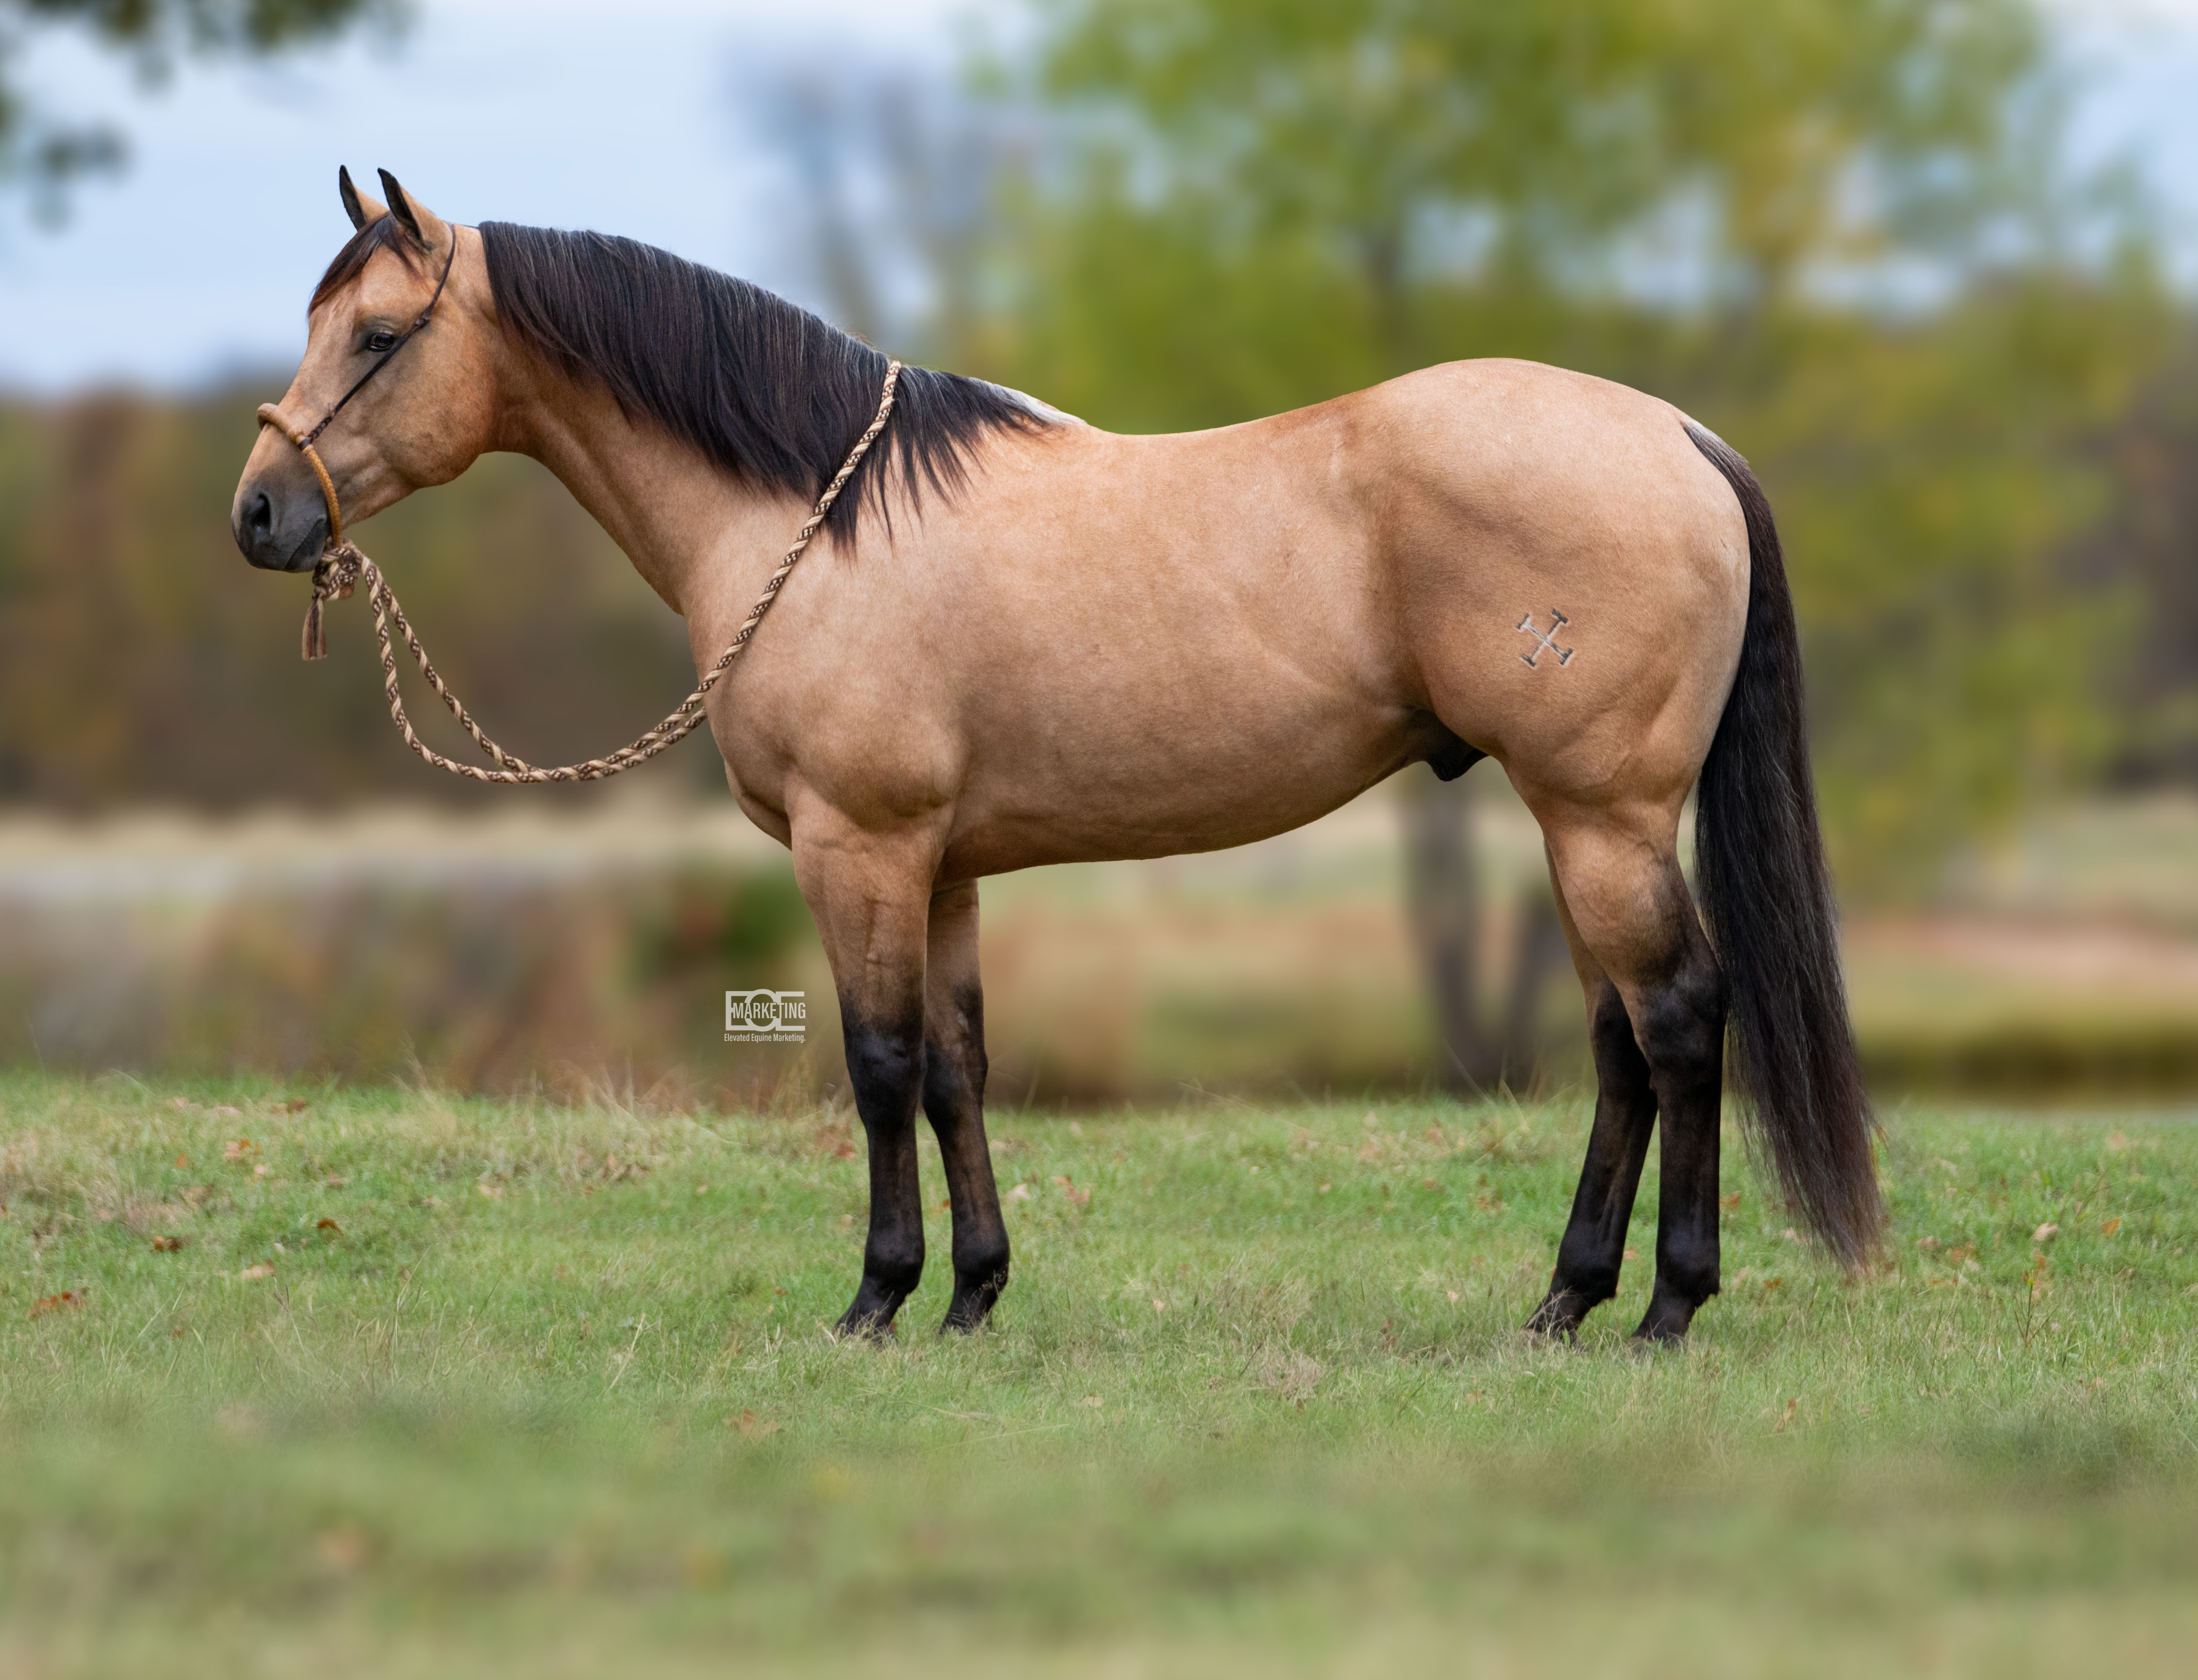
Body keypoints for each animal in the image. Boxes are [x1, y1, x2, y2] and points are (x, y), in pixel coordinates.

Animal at [232, 170, 1881, 1345]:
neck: (816, 520)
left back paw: (1662, 1306)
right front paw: (971, 1291)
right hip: (1579, 824)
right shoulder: (941, 867)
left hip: (1599, 816)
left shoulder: (857, 844)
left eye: (378, 337)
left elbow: (879, 1064)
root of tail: (1672, 436)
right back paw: (1562, 1298)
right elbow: (957, 1068)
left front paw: (874, 1299)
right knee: (1617, 1041)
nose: (258, 514)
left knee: (1677, 1021)